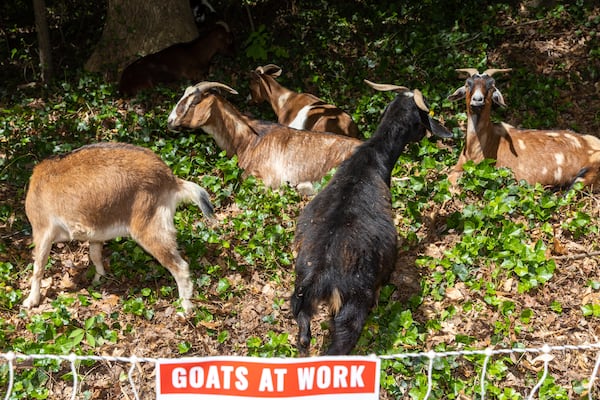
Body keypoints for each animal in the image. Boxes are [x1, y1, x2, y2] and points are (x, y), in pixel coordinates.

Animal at [24, 142, 216, 314]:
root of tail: (170, 179)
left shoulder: (42, 230)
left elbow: (38, 266)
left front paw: (31, 300)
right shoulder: (95, 234)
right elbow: (95, 255)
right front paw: (99, 278)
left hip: (150, 227)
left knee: (180, 267)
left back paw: (185, 308)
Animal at [290, 79, 450, 354]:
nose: (425, 136)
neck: (372, 158)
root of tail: (318, 278)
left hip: (301, 304)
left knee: (303, 339)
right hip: (352, 305)